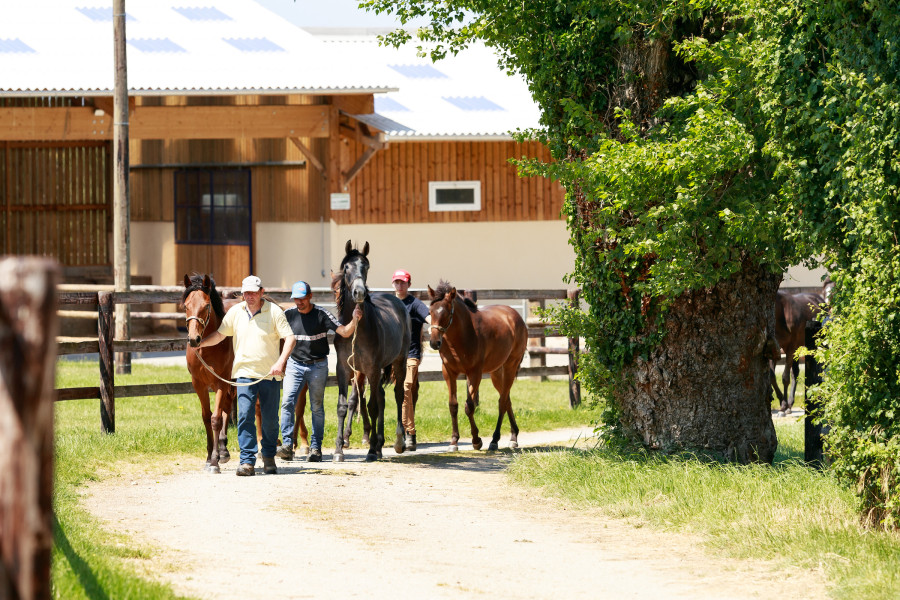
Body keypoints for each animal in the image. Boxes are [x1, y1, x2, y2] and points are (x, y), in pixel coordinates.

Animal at [180, 274, 234, 474]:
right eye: (186, 306)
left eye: (206, 306)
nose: (193, 339)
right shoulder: (199, 384)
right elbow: (206, 417)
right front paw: (209, 457)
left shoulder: (221, 383)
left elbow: (216, 418)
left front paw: (214, 462)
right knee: (228, 406)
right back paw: (223, 450)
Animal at [332, 241, 414, 462]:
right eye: (346, 267)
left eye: (366, 266)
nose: (359, 293)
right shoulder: (345, 369)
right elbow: (344, 406)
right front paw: (339, 450)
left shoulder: (373, 368)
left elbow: (372, 406)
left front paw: (370, 451)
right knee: (381, 396)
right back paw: (379, 445)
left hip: (399, 362)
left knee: (397, 394)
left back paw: (397, 441)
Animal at [428, 280, 528, 450]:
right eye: (430, 312)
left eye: (447, 313)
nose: (435, 343)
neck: (464, 334)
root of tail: (515, 316)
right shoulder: (448, 372)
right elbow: (453, 405)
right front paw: (454, 441)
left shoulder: (474, 373)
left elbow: (469, 406)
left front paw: (476, 440)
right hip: (496, 372)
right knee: (506, 398)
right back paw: (513, 436)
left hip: (510, 366)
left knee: (502, 402)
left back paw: (495, 440)